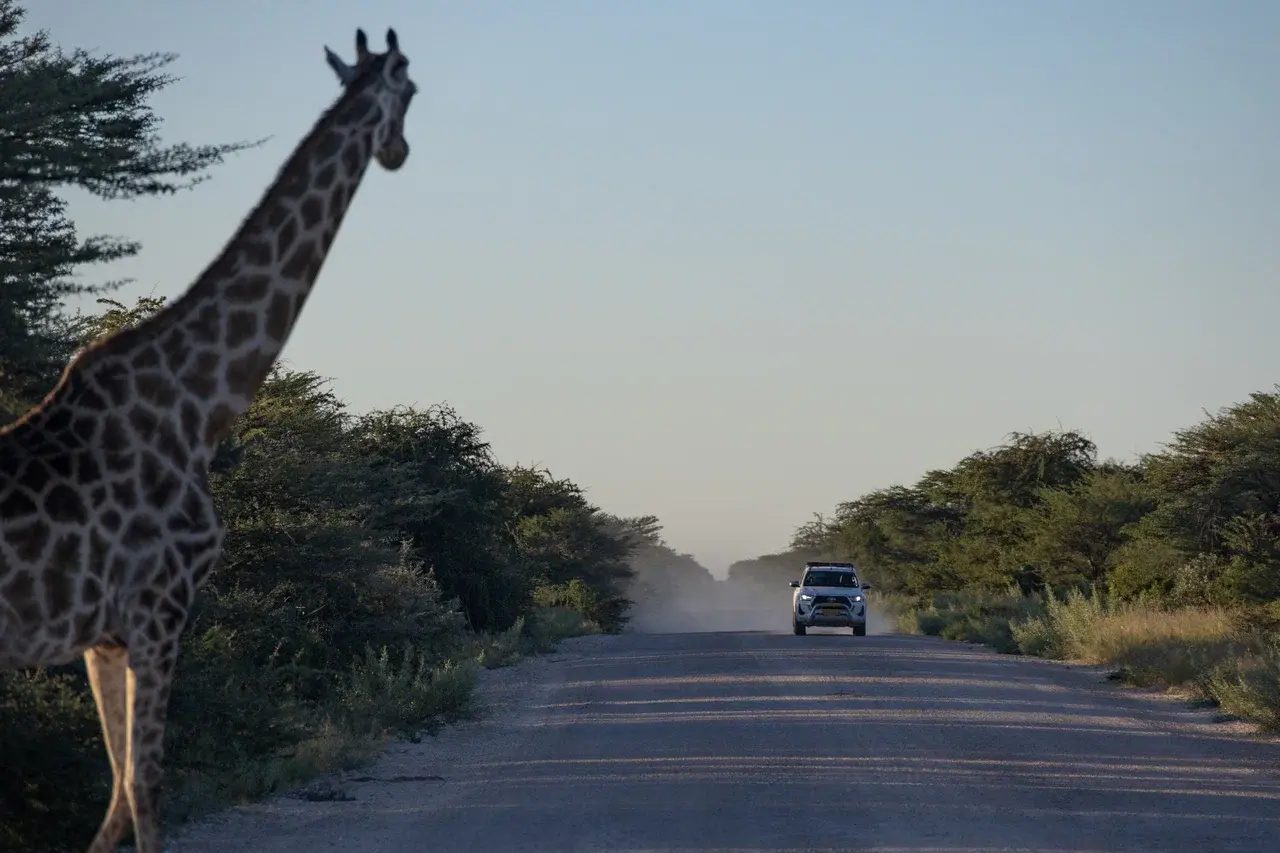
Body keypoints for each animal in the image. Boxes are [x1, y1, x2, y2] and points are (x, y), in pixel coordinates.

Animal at [0, 27, 417, 853]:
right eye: (412, 89)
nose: (398, 151)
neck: (198, 406)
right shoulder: (161, 606)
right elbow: (146, 786)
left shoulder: (105, 635)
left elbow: (117, 791)